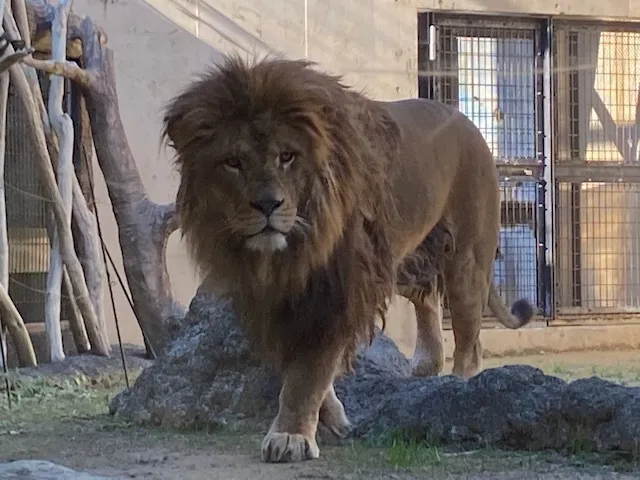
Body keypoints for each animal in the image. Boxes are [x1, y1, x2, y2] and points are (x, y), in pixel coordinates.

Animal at [162, 56, 532, 464]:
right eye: (232, 162)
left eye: (286, 156)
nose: (267, 205)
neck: (285, 254)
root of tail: (467, 123)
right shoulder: (272, 298)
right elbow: (297, 368)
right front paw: (333, 417)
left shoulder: (339, 288)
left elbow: (308, 371)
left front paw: (290, 435)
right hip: (399, 263)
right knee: (427, 299)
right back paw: (423, 365)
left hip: (466, 260)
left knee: (470, 342)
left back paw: (458, 389)